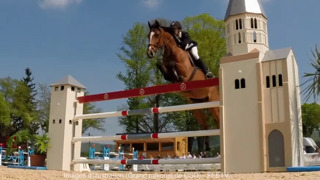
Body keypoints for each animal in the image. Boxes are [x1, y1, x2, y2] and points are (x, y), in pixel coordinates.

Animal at [147, 20, 220, 150]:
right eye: (148, 36)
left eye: (156, 35)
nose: (149, 53)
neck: (171, 51)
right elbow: (161, 66)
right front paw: (172, 76)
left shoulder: (185, 72)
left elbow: (173, 66)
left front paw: (177, 76)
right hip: (196, 107)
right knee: (205, 125)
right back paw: (207, 147)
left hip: (213, 103)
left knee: (218, 121)